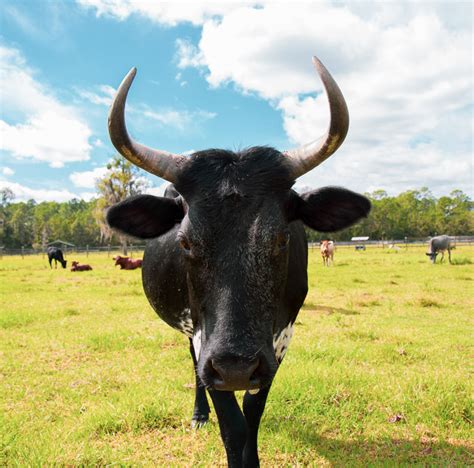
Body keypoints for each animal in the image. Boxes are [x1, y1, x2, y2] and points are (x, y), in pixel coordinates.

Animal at [104, 56, 370, 466]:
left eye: (281, 238)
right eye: (185, 242)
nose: (236, 367)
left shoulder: (278, 344)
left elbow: (253, 414)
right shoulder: (208, 345)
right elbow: (233, 425)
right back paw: (199, 414)